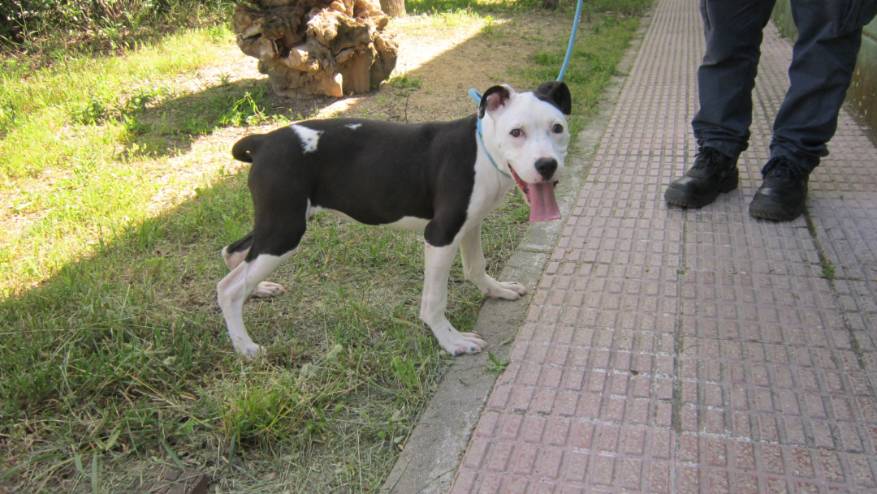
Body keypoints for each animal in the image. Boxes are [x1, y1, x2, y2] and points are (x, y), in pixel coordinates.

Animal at [217, 81, 571, 357]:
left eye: (558, 128)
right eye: (516, 132)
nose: (546, 166)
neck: (483, 151)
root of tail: (262, 141)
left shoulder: (470, 225)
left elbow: (476, 266)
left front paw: (496, 290)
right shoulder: (441, 234)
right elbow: (434, 300)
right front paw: (451, 341)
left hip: (277, 222)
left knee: (234, 253)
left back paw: (259, 289)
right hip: (285, 229)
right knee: (228, 288)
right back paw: (246, 347)